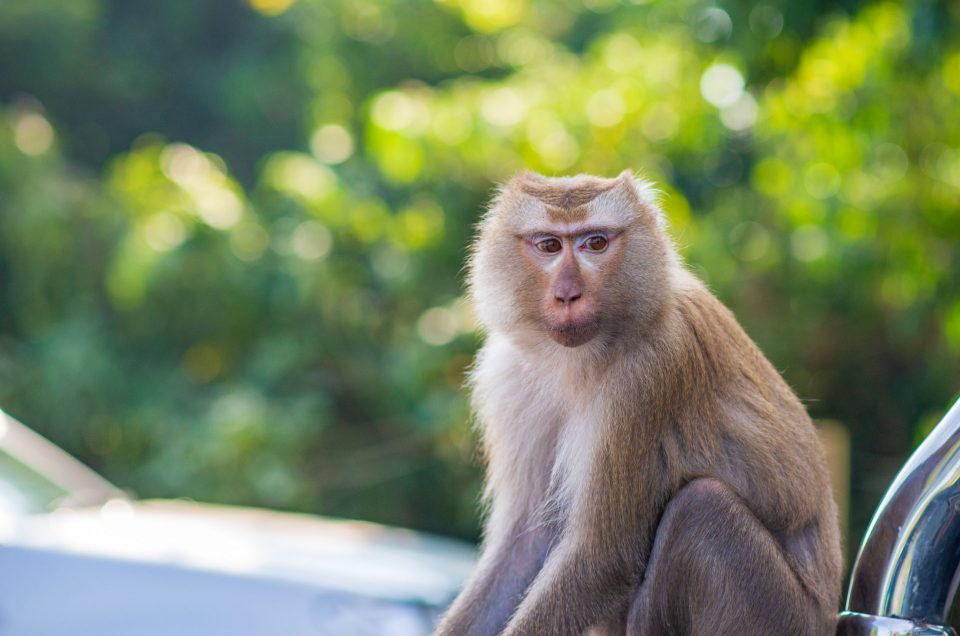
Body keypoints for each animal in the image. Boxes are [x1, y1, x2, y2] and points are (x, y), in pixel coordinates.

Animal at [436, 170, 840, 636]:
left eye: (595, 243)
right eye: (549, 245)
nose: (568, 295)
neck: (576, 360)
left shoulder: (648, 375)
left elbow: (600, 558)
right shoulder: (508, 376)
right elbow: (525, 545)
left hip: (773, 613)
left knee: (701, 508)